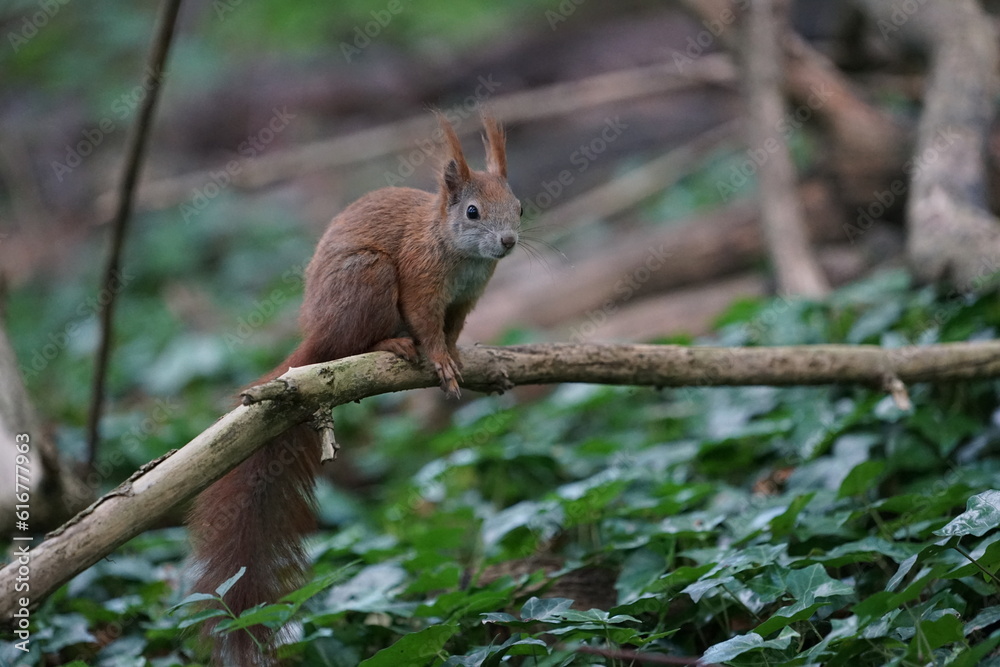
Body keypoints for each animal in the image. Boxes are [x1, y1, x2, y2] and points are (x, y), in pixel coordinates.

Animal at [187, 111, 520, 665]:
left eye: (519, 205)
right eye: (473, 212)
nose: (509, 242)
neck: (453, 246)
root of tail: (317, 335)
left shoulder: (466, 299)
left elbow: (451, 330)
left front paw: (458, 356)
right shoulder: (420, 281)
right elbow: (428, 326)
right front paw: (439, 360)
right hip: (367, 276)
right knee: (358, 340)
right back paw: (391, 343)